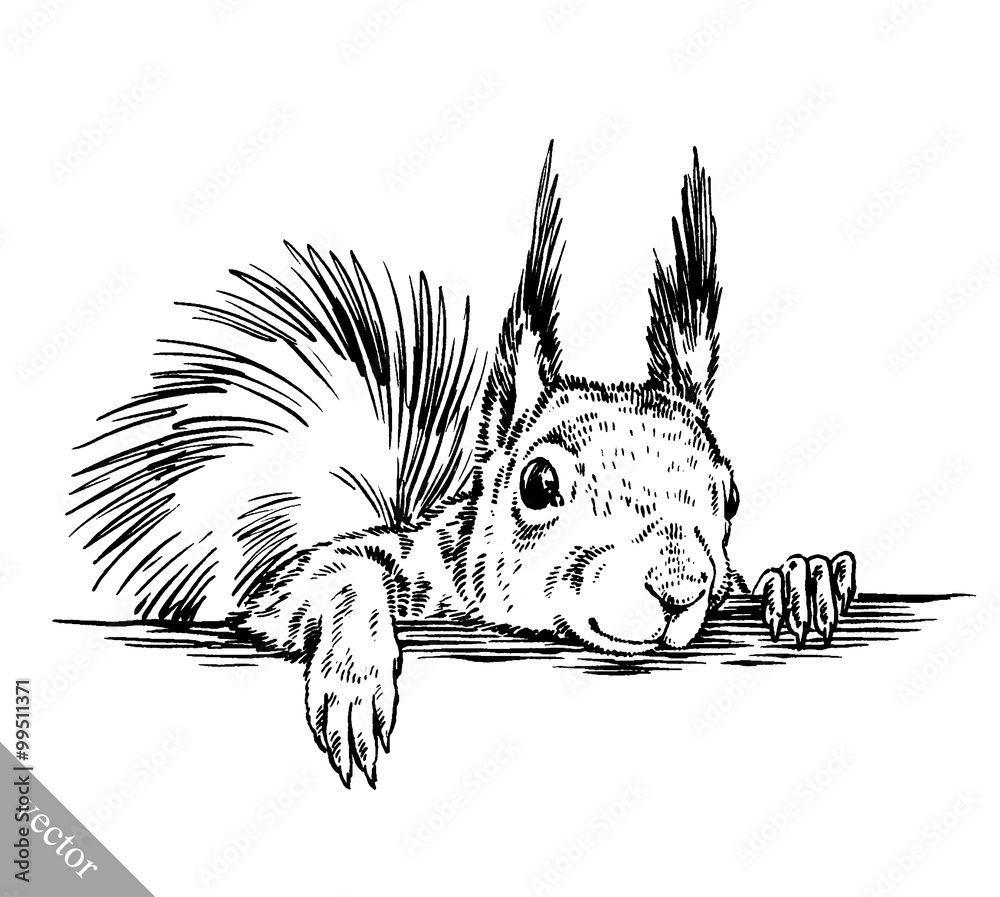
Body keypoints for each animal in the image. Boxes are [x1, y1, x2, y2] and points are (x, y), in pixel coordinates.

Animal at [70, 143, 856, 788]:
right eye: (538, 484)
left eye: (730, 497)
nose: (677, 587)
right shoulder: (349, 578)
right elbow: (332, 576)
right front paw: (355, 681)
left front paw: (805, 580)